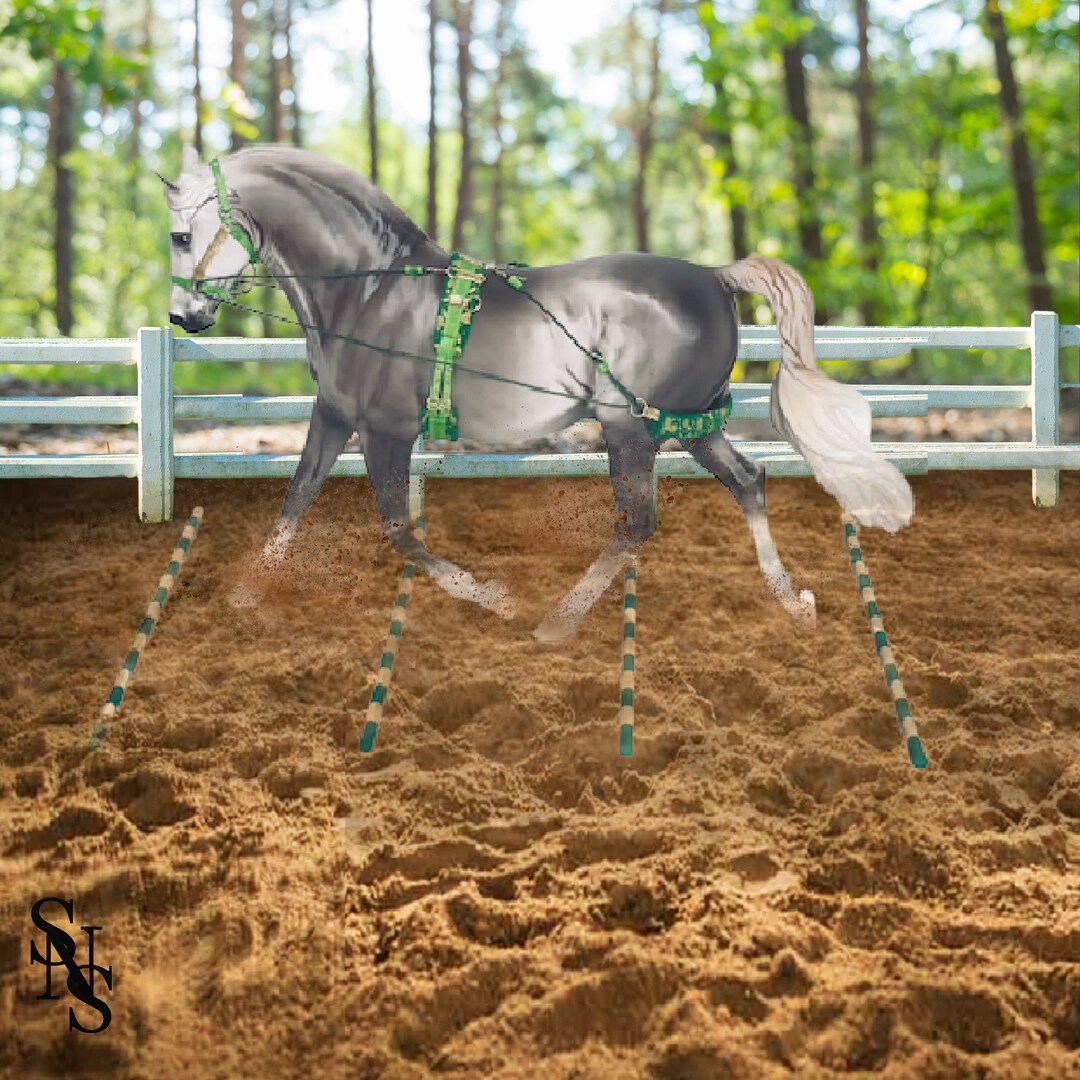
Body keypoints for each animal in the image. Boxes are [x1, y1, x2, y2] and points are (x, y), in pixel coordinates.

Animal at [163, 144, 912, 643]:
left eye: (179, 234)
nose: (183, 317)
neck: (368, 289)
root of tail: (715, 276)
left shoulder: (386, 428)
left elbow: (399, 529)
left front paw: (490, 595)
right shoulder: (334, 414)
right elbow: (295, 498)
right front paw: (249, 590)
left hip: (629, 426)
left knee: (637, 523)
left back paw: (557, 621)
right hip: (690, 425)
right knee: (748, 482)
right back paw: (790, 602)